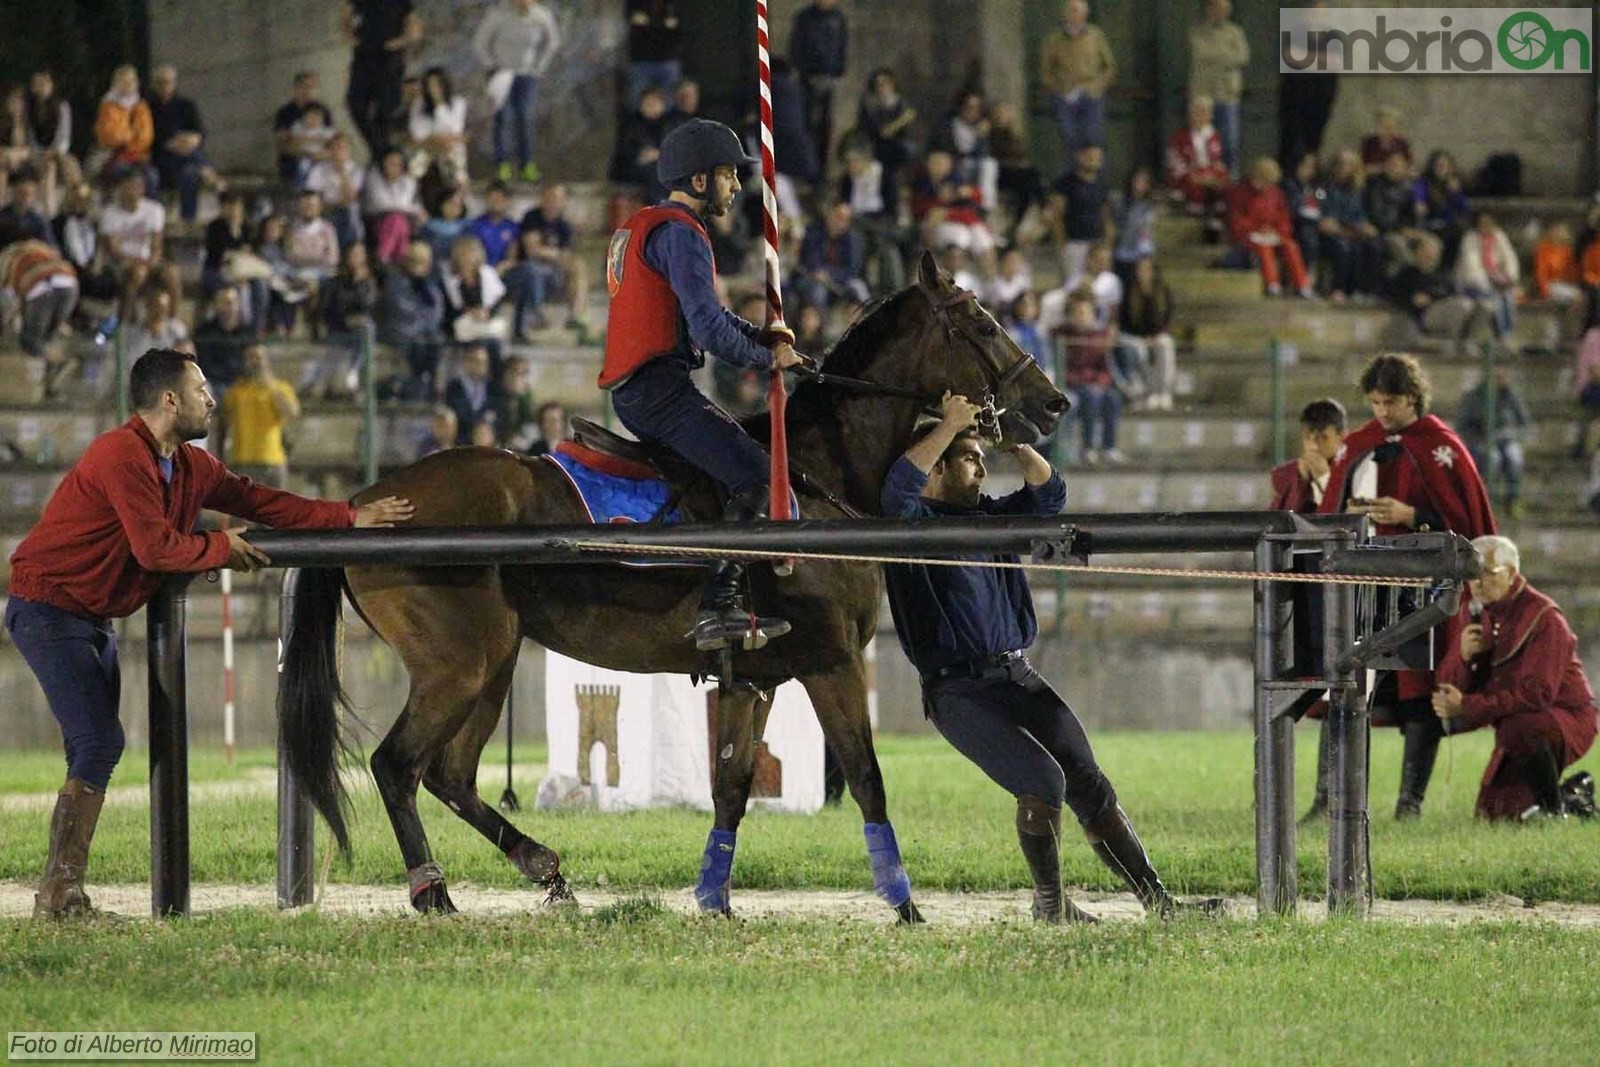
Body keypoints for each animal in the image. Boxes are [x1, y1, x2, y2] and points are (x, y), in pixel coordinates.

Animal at [281, 251, 1068, 921]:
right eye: (980, 322)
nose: (1054, 400)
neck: (811, 474)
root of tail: (368, 500)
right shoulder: (831, 661)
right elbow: (867, 777)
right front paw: (903, 905)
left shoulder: (755, 680)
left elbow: (731, 791)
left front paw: (714, 899)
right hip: (461, 661)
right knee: (397, 764)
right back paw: (434, 891)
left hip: (494, 660)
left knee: (448, 772)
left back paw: (543, 866)